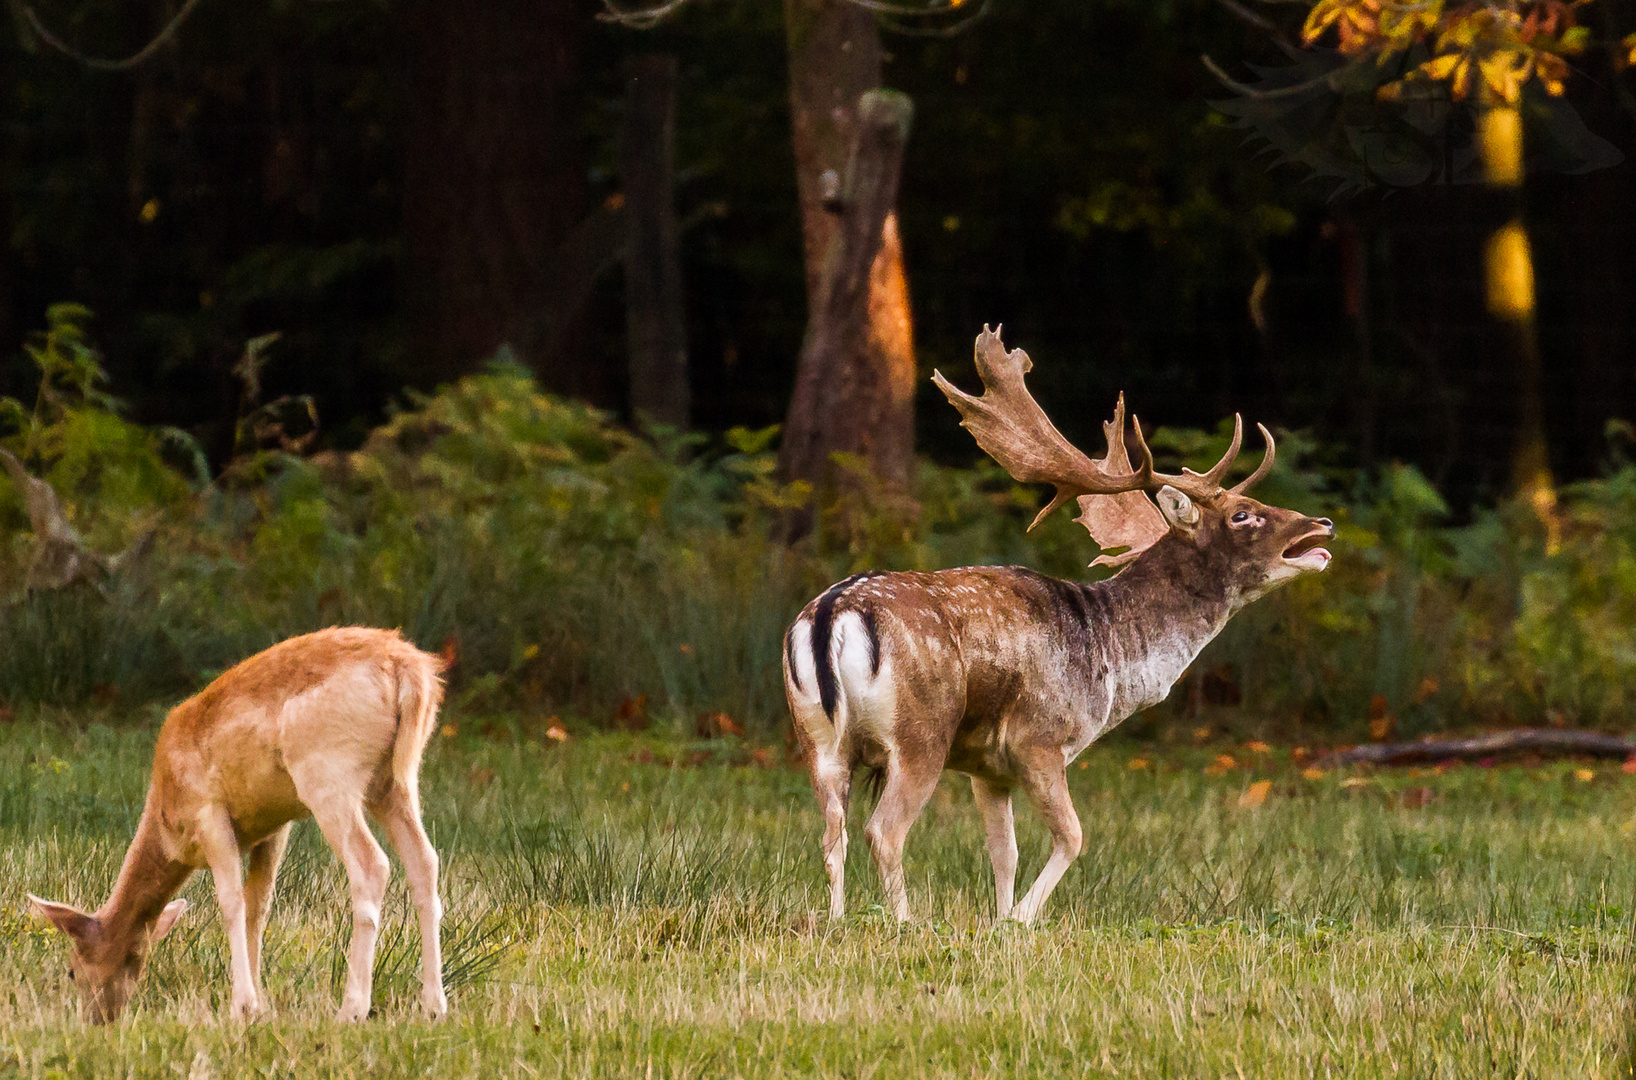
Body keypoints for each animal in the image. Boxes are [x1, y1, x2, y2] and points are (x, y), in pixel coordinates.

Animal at [31, 625, 451, 1021]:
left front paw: (242, 1007)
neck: (167, 820)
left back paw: (351, 1010)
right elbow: (258, 905)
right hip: (394, 781)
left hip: (328, 772)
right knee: (425, 861)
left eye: (71, 970)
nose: (99, 1018)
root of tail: (411, 669)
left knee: (371, 864)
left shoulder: (209, 813)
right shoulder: (276, 824)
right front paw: (260, 1006)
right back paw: (434, 1007)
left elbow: (231, 902)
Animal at [785, 325, 1334, 922]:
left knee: (831, 833)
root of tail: (832, 613)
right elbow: (1072, 836)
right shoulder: (1039, 738)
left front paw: (999, 919)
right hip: (921, 732)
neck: (1112, 656)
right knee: (883, 831)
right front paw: (1023, 919)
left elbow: (1003, 851)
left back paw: (838, 920)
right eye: (1242, 514)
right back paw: (906, 924)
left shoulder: (986, 767)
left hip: (817, 739)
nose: (1323, 523)